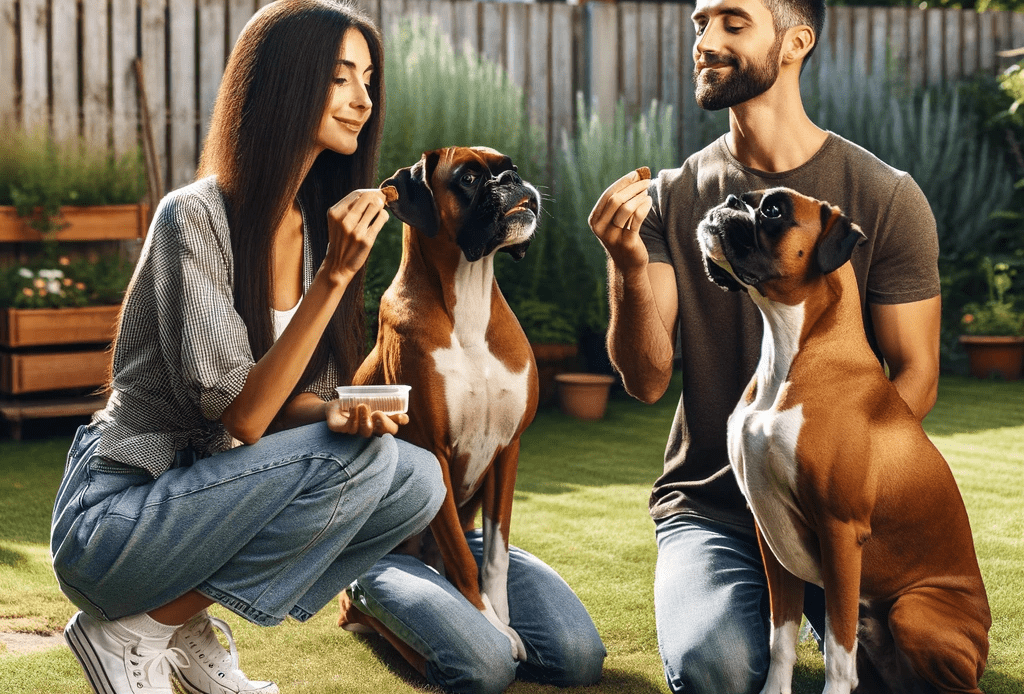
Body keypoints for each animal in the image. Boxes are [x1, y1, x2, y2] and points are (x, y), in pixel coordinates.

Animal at [337, 145, 544, 663]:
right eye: (468, 178)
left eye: (509, 166)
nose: (512, 180)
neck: (468, 296)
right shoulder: (437, 452)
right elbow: (463, 559)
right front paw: (491, 628)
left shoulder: (508, 451)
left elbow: (494, 556)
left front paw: (504, 619)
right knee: (357, 607)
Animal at [696, 187, 991, 691]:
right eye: (743, 197)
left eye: (773, 210)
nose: (729, 200)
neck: (791, 349)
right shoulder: (770, 531)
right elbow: (781, 637)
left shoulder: (840, 532)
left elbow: (837, 646)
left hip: (913, 611)